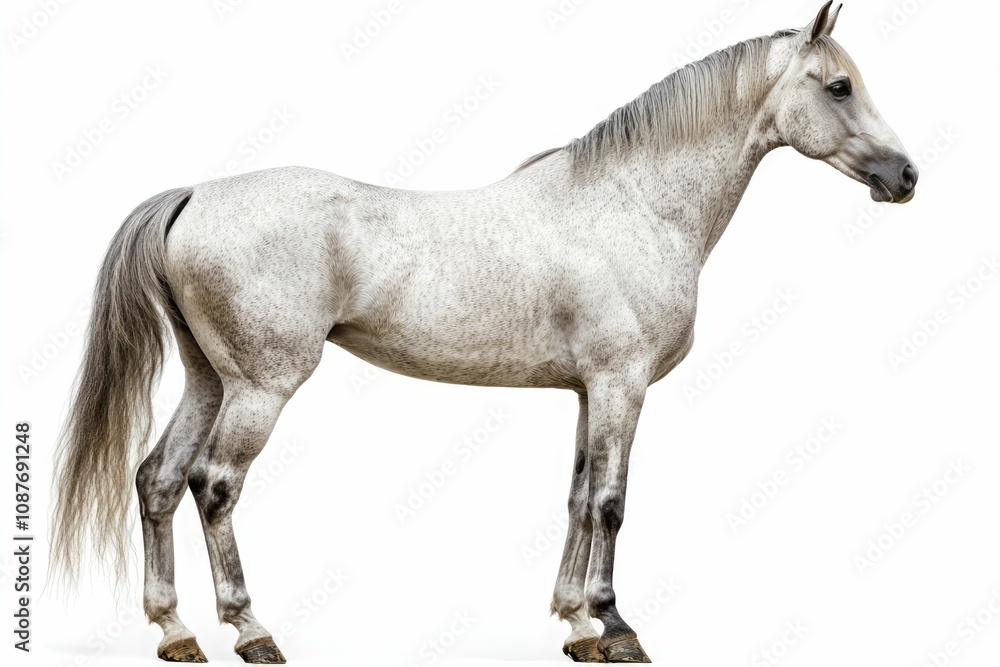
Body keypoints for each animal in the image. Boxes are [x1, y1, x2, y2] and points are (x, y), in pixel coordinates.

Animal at [50, 2, 916, 663]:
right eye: (839, 85)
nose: (905, 176)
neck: (636, 203)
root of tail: (192, 194)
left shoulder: (587, 391)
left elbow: (576, 496)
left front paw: (574, 622)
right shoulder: (621, 383)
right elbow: (611, 501)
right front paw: (616, 624)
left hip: (210, 377)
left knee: (159, 478)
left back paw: (175, 631)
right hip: (261, 386)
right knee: (214, 484)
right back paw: (251, 630)